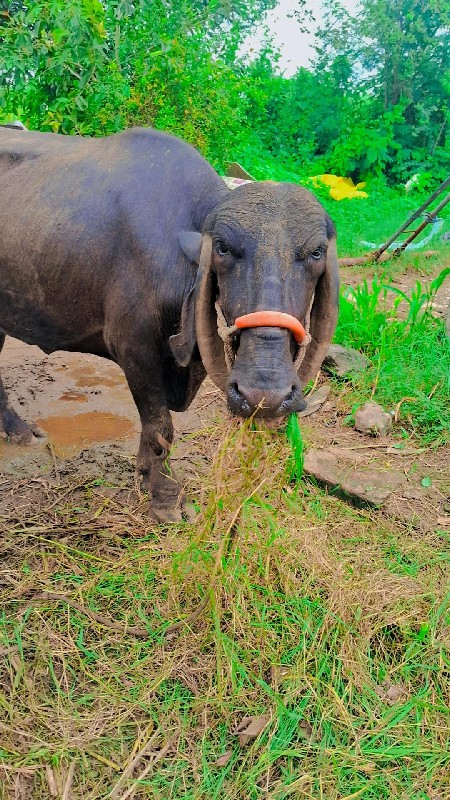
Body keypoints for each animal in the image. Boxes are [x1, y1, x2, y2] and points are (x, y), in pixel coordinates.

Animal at [0, 126, 338, 520]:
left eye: (315, 252)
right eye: (222, 248)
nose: (263, 396)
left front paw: (149, 477)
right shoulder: (135, 349)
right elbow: (159, 426)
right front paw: (163, 495)